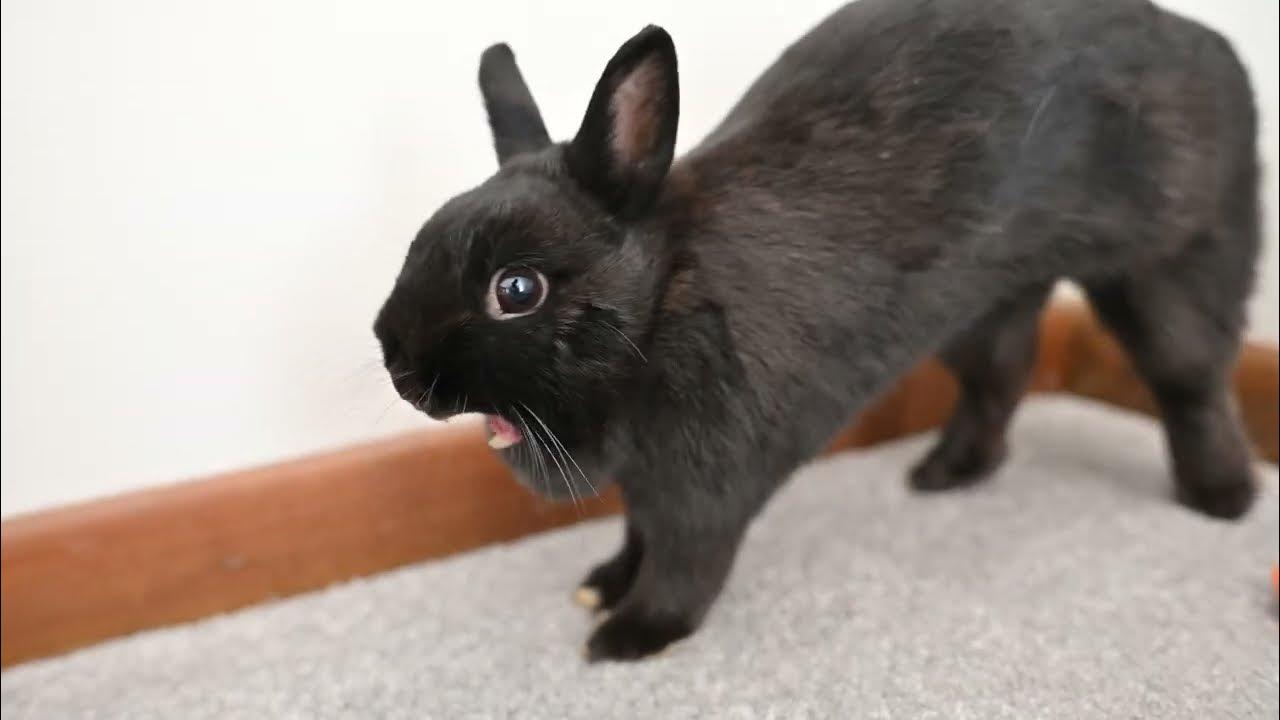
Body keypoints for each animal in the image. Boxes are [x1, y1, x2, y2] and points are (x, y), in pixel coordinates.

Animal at [374, 0, 1260, 661]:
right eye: (418, 243)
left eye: (517, 290)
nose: (401, 369)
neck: (659, 309)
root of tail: (1209, 46)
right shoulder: (647, 479)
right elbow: (636, 532)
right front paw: (604, 583)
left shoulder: (705, 480)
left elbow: (686, 557)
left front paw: (632, 634)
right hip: (988, 298)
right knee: (1002, 375)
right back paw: (946, 473)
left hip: (1173, 261)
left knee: (1192, 379)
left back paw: (1224, 499)